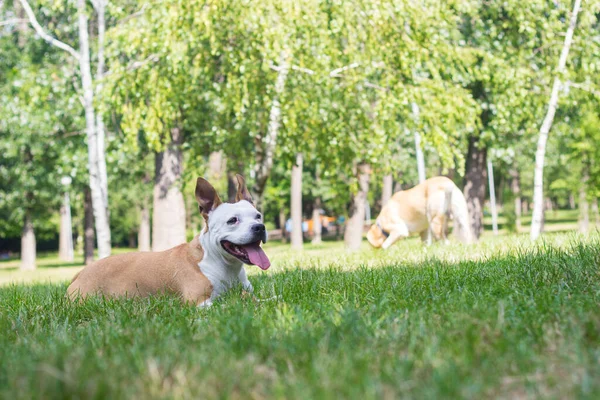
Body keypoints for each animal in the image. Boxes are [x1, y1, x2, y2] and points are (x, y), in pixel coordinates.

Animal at [67, 173, 270, 308]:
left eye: (258, 216)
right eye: (232, 220)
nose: (259, 227)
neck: (226, 266)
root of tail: (81, 272)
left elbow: (265, 299)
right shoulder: (198, 302)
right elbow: (232, 303)